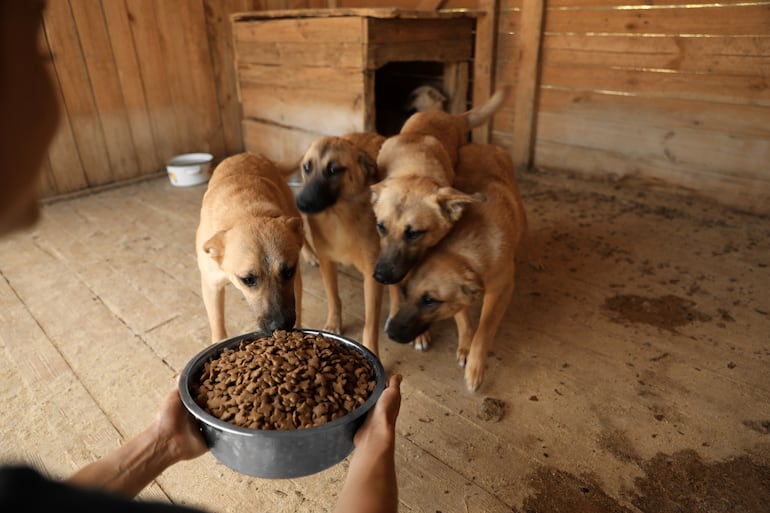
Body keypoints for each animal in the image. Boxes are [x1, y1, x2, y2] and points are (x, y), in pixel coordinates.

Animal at [195, 153, 304, 344]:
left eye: (288, 272)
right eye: (247, 279)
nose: (281, 326)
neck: (247, 214)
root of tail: (247, 154)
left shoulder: (295, 278)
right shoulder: (211, 285)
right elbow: (217, 325)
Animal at [294, 132, 400, 356]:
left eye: (333, 170)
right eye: (307, 167)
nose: (301, 203)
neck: (339, 217)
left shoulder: (372, 275)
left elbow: (370, 323)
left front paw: (372, 351)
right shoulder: (327, 262)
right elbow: (333, 298)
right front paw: (333, 324)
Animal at [384, 142, 528, 390]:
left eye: (429, 301)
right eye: (404, 291)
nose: (390, 333)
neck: (463, 254)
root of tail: (483, 144)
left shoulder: (501, 291)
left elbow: (484, 330)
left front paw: (475, 367)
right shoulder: (459, 297)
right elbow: (463, 320)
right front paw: (465, 347)